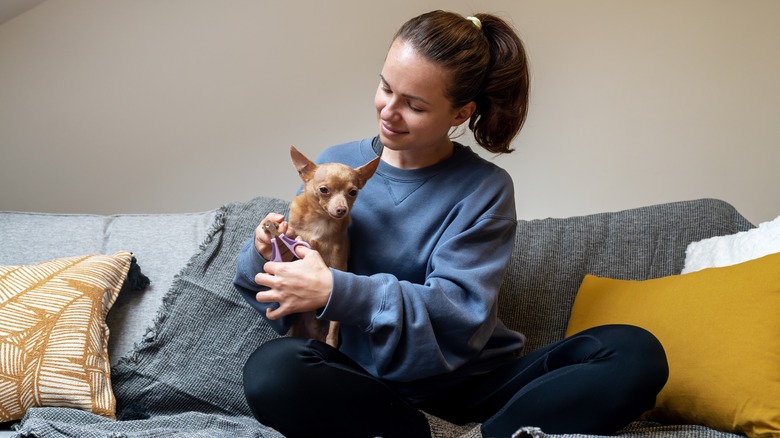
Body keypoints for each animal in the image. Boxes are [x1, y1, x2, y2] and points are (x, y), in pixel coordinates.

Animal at [284, 145, 380, 348]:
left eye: (353, 192)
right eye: (324, 190)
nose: (341, 209)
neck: (321, 220)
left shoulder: (337, 267)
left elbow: (334, 327)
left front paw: (332, 342)